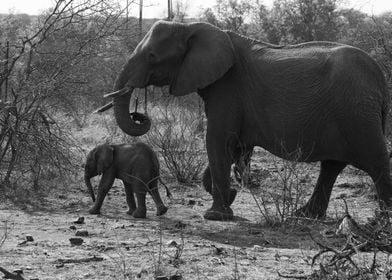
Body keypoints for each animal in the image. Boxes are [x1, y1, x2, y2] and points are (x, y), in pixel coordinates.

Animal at [102, 20, 392, 221]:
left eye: (152, 56)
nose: (138, 115)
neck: (192, 27)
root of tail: (380, 77)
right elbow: (233, 147)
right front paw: (227, 196)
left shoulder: (228, 88)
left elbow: (217, 140)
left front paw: (216, 216)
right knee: (331, 166)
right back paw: (304, 215)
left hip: (357, 112)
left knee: (375, 161)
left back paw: (381, 222)